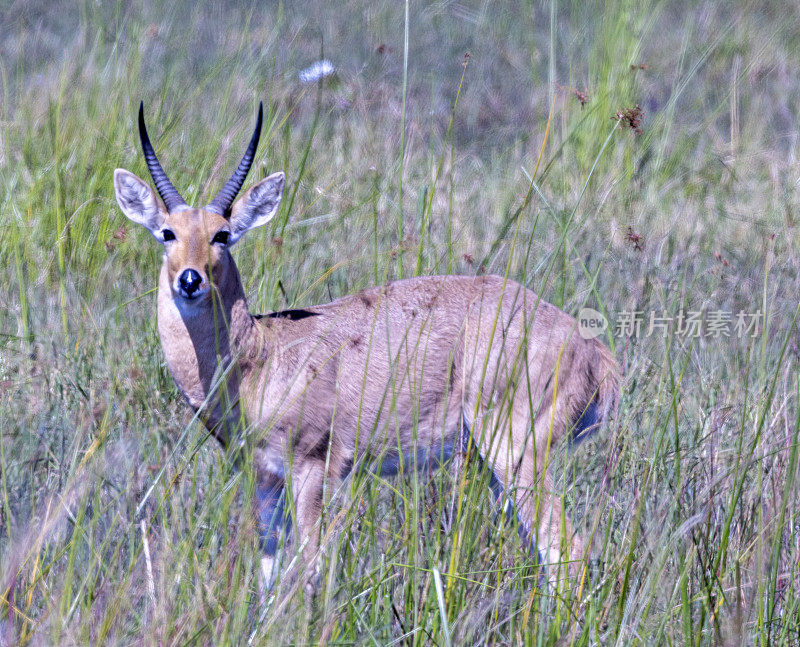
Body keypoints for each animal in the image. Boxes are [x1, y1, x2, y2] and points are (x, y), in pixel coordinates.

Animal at [115, 102, 620, 592]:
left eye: (222, 234)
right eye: (167, 233)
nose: (190, 280)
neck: (260, 354)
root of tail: (591, 349)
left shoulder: (314, 470)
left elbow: (312, 570)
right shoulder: (265, 479)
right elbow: (269, 577)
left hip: (516, 456)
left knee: (570, 554)